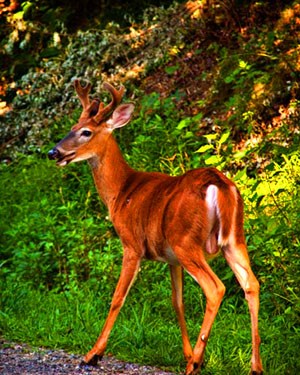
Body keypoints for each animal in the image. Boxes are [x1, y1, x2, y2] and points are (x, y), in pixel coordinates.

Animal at [47, 78, 262, 374]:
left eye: (86, 132)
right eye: (71, 127)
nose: (53, 152)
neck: (120, 192)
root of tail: (219, 185)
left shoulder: (132, 244)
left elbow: (117, 298)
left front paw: (93, 354)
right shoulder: (170, 258)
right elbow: (177, 302)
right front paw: (186, 354)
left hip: (187, 241)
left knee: (216, 288)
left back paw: (196, 364)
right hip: (234, 239)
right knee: (251, 284)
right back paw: (254, 366)